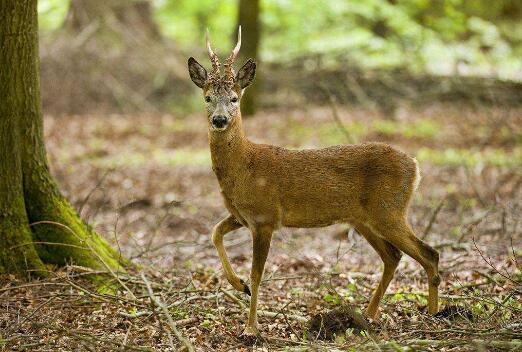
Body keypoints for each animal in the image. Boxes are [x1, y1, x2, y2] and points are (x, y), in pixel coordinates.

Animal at [187, 26, 438, 336]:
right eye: (207, 97)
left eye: (235, 98)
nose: (220, 120)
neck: (244, 166)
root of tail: (415, 166)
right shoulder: (241, 215)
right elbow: (215, 232)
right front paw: (239, 285)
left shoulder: (265, 217)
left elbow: (257, 273)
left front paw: (251, 328)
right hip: (364, 218)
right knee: (393, 256)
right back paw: (369, 315)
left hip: (389, 210)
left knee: (429, 253)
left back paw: (434, 314)